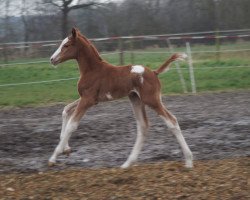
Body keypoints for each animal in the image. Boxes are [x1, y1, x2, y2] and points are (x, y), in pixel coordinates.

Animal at [48, 27, 193, 169]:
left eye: (66, 45)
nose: (52, 59)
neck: (92, 70)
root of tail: (154, 72)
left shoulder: (87, 100)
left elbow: (72, 125)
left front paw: (54, 157)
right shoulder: (89, 99)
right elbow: (66, 110)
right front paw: (66, 149)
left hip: (151, 100)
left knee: (171, 121)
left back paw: (189, 161)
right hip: (136, 99)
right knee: (143, 126)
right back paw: (127, 164)